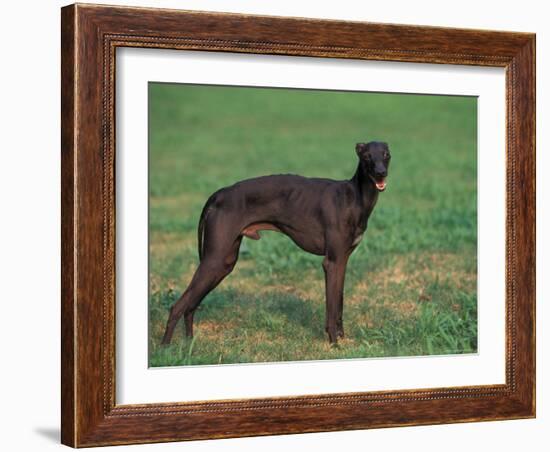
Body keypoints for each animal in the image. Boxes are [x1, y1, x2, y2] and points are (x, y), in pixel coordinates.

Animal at [162, 140, 390, 342]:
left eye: (386, 154)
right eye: (367, 156)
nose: (381, 173)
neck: (355, 197)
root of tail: (219, 194)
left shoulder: (342, 261)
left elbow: (339, 303)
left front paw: (342, 338)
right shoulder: (331, 262)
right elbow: (331, 308)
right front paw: (334, 342)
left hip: (223, 263)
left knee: (190, 306)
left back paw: (189, 343)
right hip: (213, 260)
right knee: (177, 307)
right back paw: (166, 349)